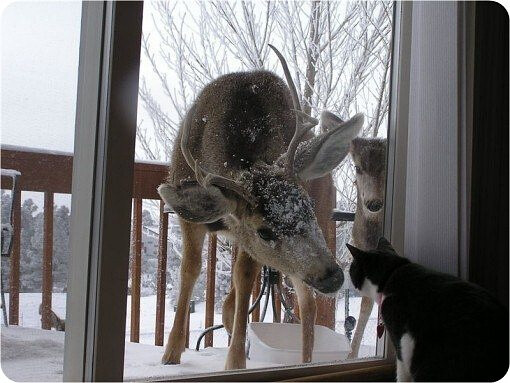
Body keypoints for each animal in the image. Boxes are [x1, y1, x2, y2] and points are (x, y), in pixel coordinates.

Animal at [157, 45, 364, 372]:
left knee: (305, 301)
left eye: (307, 206)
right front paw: (171, 353)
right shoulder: (192, 217)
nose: (332, 276)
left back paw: (303, 361)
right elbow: (190, 269)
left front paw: (234, 361)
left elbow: (243, 276)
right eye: (264, 231)